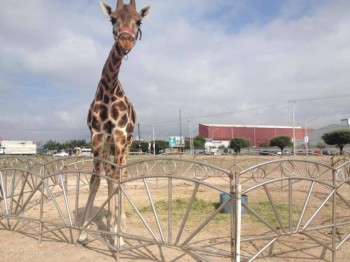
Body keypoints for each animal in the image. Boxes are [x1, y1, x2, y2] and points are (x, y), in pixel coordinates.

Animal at [78, 0, 150, 247]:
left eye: (139, 21)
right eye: (113, 18)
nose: (126, 40)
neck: (109, 90)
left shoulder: (119, 135)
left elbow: (118, 180)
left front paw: (118, 238)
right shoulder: (98, 137)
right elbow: (96, 181)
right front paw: (83, 233)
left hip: (127, 144)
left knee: (122, 176)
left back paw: (121, 225)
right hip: (109, 146)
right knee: (110, 177)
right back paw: (111, 223)